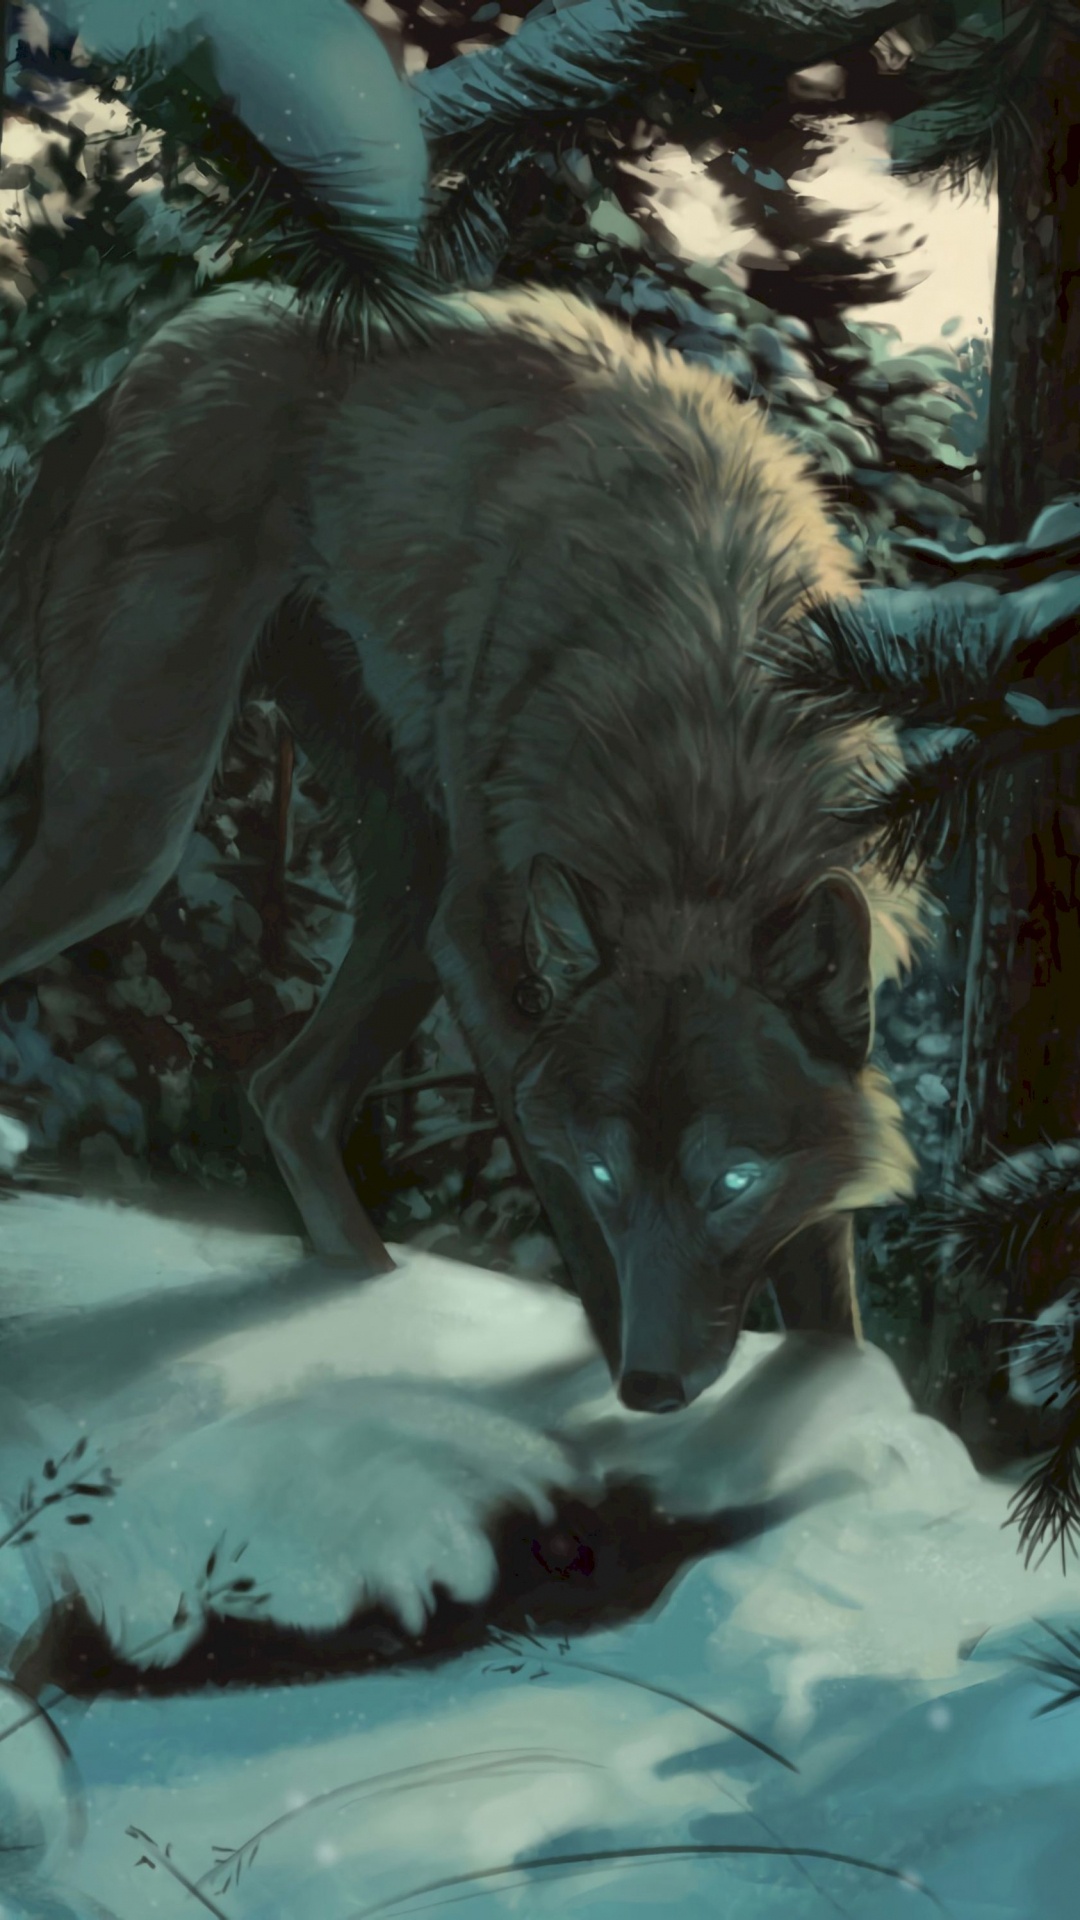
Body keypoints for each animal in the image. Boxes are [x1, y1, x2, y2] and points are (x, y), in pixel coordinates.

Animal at [0, 284, 922, 1411]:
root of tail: (150, 356)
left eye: (734, 1183)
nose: (652, 1388)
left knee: (284, 1094)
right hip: (132, 833)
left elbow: (824, 1278)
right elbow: (570, 1207)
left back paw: (362, 1293)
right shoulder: (489, 966)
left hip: (399, 893)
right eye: (611, 1175)